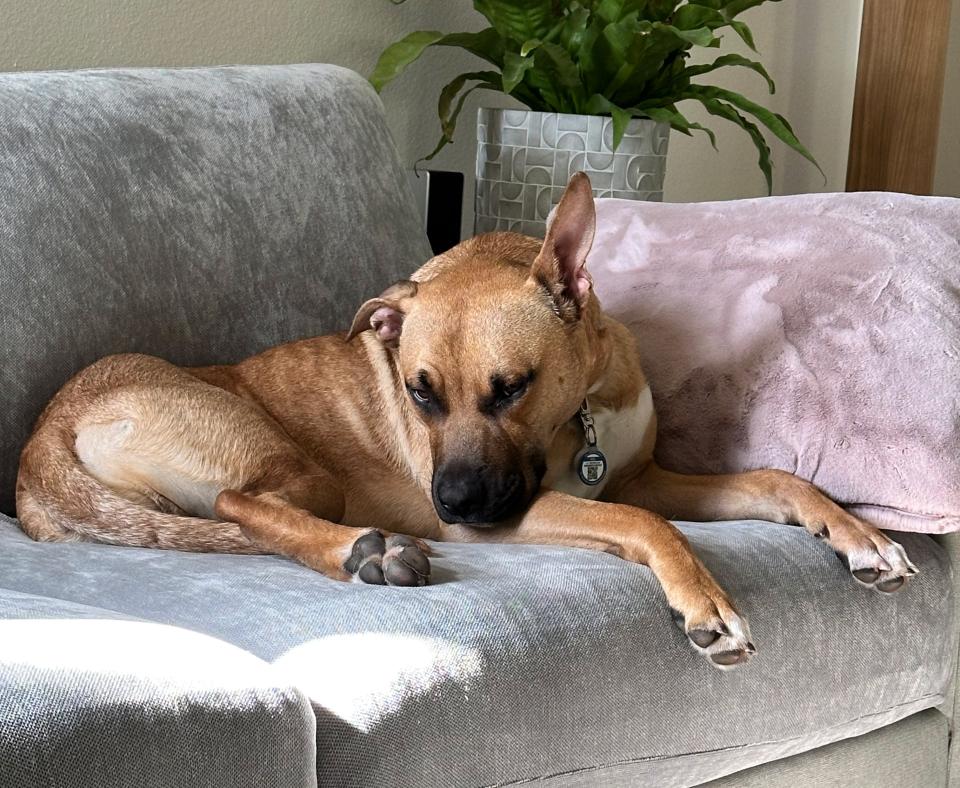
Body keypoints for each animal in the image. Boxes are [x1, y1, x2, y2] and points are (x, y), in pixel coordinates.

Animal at [15, 174, 916, 672]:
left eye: (510, 388)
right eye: (419, 394)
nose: (449, 507)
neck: (585, 401)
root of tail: (43, 437)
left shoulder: (643, 474)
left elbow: (774, 479)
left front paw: (860, 535)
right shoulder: (541, 509)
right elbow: (644, 523)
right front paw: (705, 602)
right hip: (292, 461)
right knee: (248, 506)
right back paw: (368, 551)